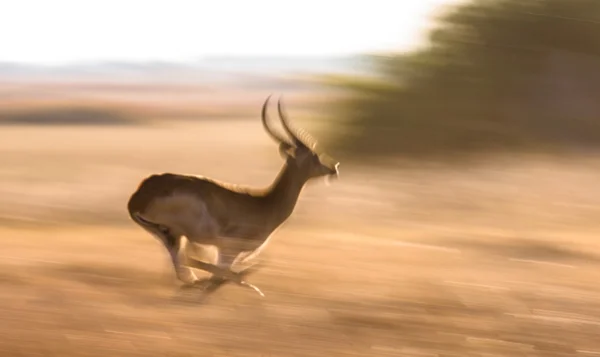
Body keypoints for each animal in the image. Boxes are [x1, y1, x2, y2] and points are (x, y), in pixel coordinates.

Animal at [125, 94, 342, 294]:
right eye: (314, 156)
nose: (334, 168)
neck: (265, 203)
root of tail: (139, 197)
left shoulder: (225, 251)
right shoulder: (229, 250)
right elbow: (220, 275)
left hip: (172, 237)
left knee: (183, 268)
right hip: (181, 234)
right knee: (189, 263)